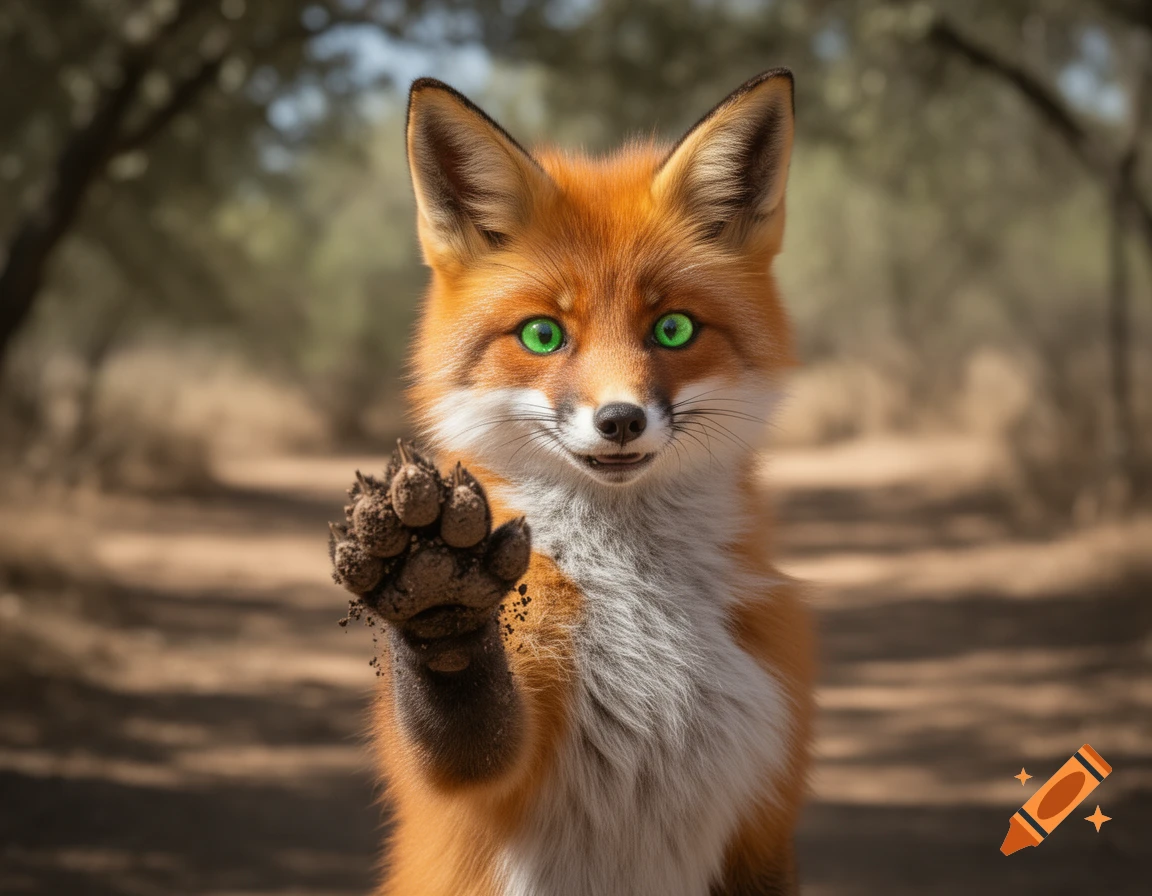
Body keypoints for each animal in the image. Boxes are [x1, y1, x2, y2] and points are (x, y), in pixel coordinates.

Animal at [328, 69, 815, 896]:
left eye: (674, 329)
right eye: (543, 334)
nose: (619, 420)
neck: (642, 618)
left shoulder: (764, 823)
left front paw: (438, 594)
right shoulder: (483, 775)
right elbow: (465, 723)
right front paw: (438, 604)